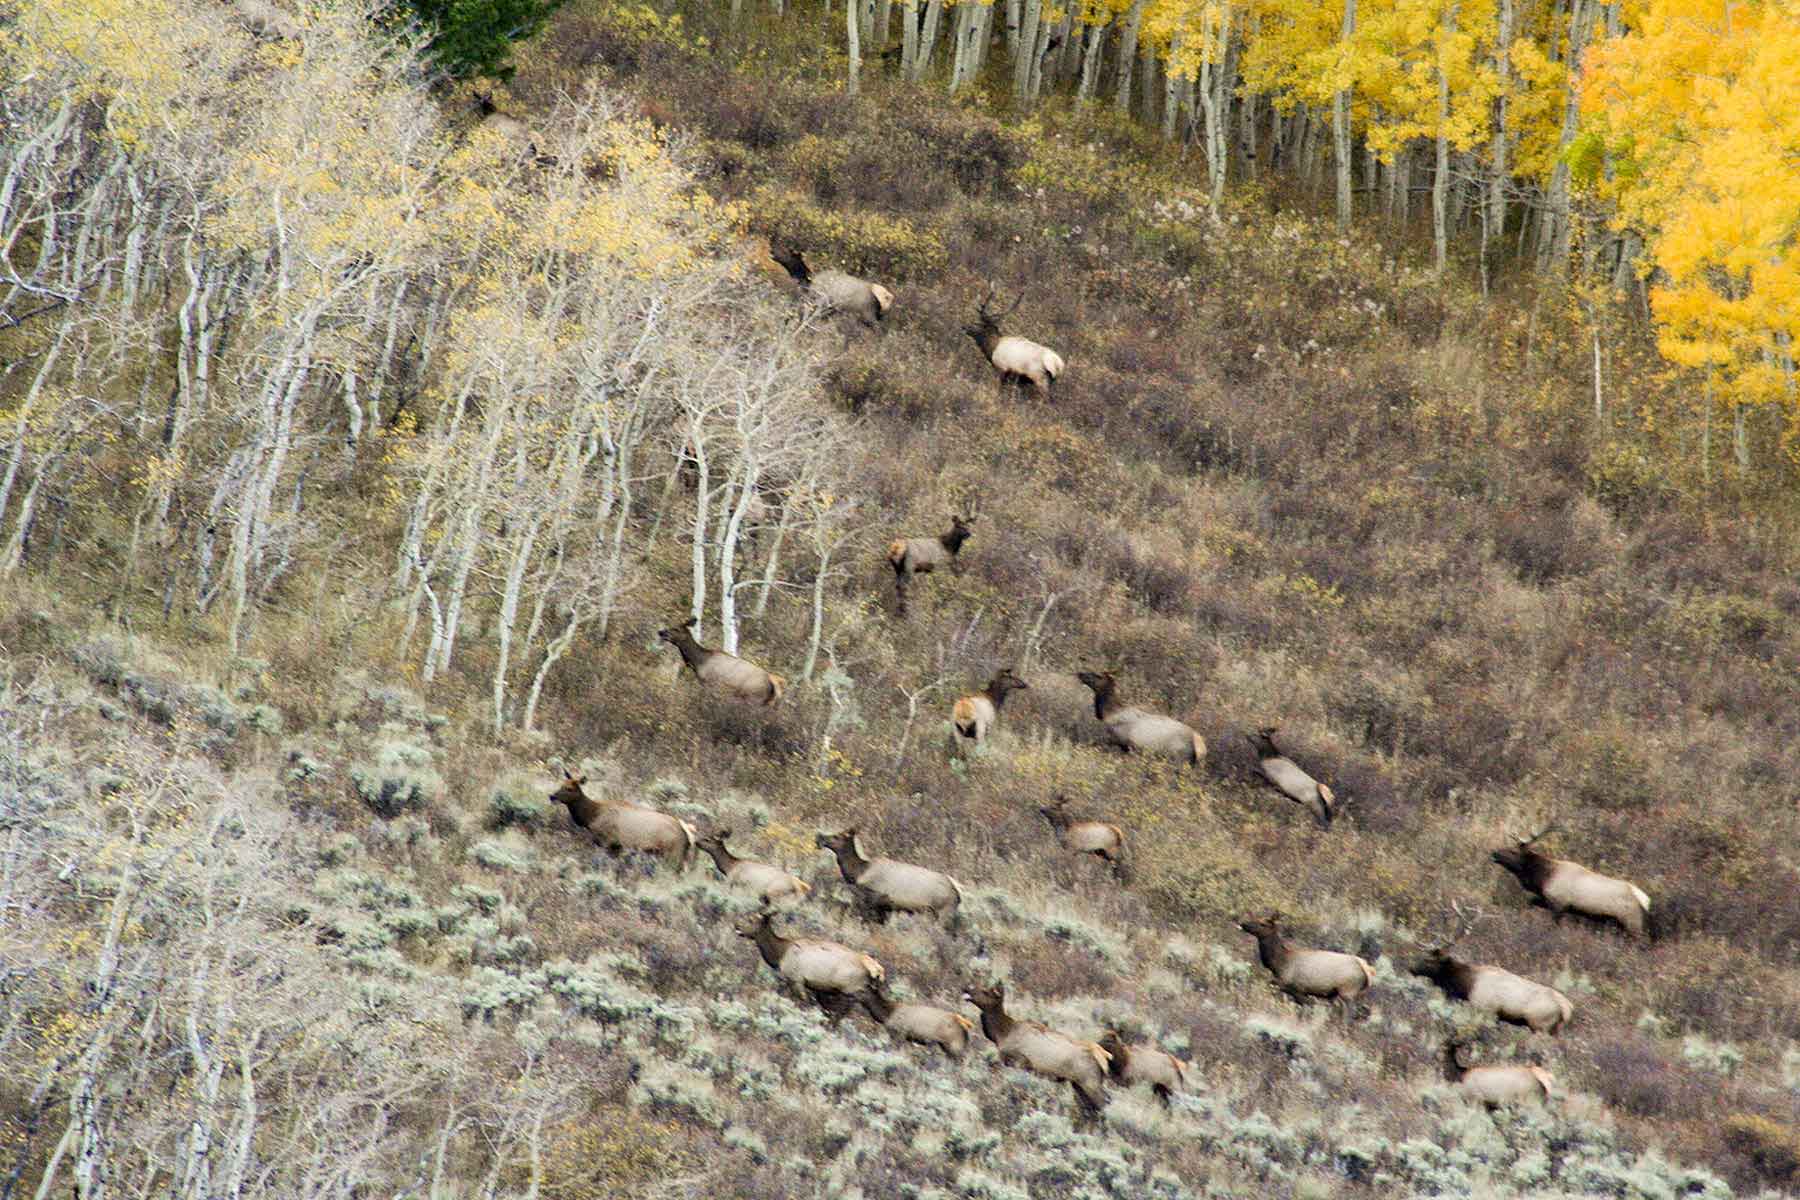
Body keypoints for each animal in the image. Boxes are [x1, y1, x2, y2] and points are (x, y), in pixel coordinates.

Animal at [549, 772, 695, 870]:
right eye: (561, 784)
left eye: (569, 788)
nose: (552, 796)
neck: (591, 817)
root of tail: (687, 834)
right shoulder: (616, 847)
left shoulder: (607, 841)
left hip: (673, 854)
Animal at [658, 621, 786, 706]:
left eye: (676, 629)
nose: (661, 632)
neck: (698, 662)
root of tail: (772, 682)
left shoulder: (709, 683)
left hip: (753, 698)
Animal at [963, 982, 1110, 1122]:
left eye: (985, 991)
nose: (966, 988)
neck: (1002, 1034)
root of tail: (1103, 1057)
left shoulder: (1019, 1061)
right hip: (1078, 1084)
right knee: (1090, 1108)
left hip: (1090, 1082)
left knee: (1105, 1103)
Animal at [1075, 671, 1206, 765]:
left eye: (1098, 675)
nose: (1080, 673)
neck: (1109, 713)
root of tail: (1201, 749)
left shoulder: (1119, 742)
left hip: (1178, 758)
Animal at [1490, 824, 1651, 939]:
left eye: (1513, 851)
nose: (1494, 853)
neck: (1543, 878)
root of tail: (1645, 901)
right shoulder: (1548, 900)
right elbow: (1530, 902)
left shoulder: (1559, 904)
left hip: (1632, 924)